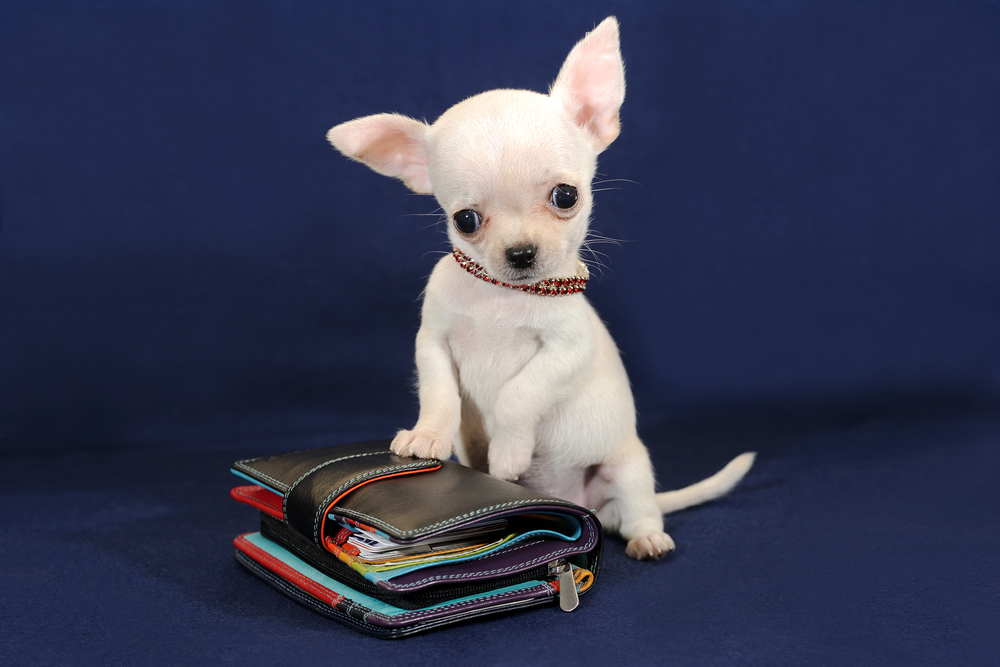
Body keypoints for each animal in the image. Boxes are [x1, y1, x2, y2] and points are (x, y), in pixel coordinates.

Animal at [326, 17, 752, 560]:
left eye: (565, 196)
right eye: (465, 220)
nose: (521, 253)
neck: (501, 297)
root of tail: (586, 507)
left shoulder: (565, 351)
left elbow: (517, 395)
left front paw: (508, 456)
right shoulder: (433, 343)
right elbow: (440, 393)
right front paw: (427, 437)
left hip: (627, 468)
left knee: (638, 509)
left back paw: (648, 537)